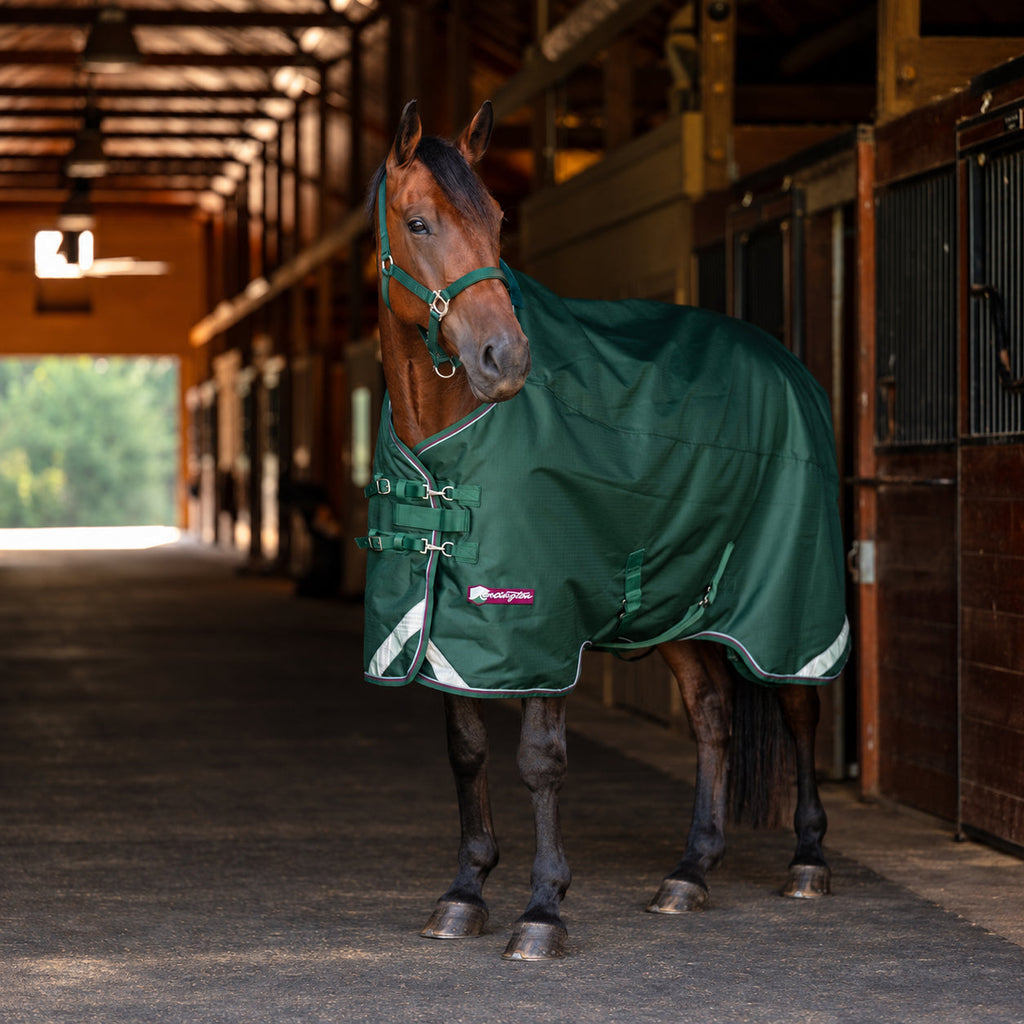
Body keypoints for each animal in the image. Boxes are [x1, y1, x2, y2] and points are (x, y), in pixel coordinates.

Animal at [358, 99, 850, 961]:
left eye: (498, 220)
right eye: (418, 223)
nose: (505, 357)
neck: (446, 439)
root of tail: (784, 363)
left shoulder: (539, 624)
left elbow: (541, 761)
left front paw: (543, 910)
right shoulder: (447, 623)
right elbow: (468, 752)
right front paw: (464, 892)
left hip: (791, 599)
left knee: (799, 705)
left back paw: (808, 859)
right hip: (684, 603)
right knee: (713, 717)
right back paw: (690, 872)